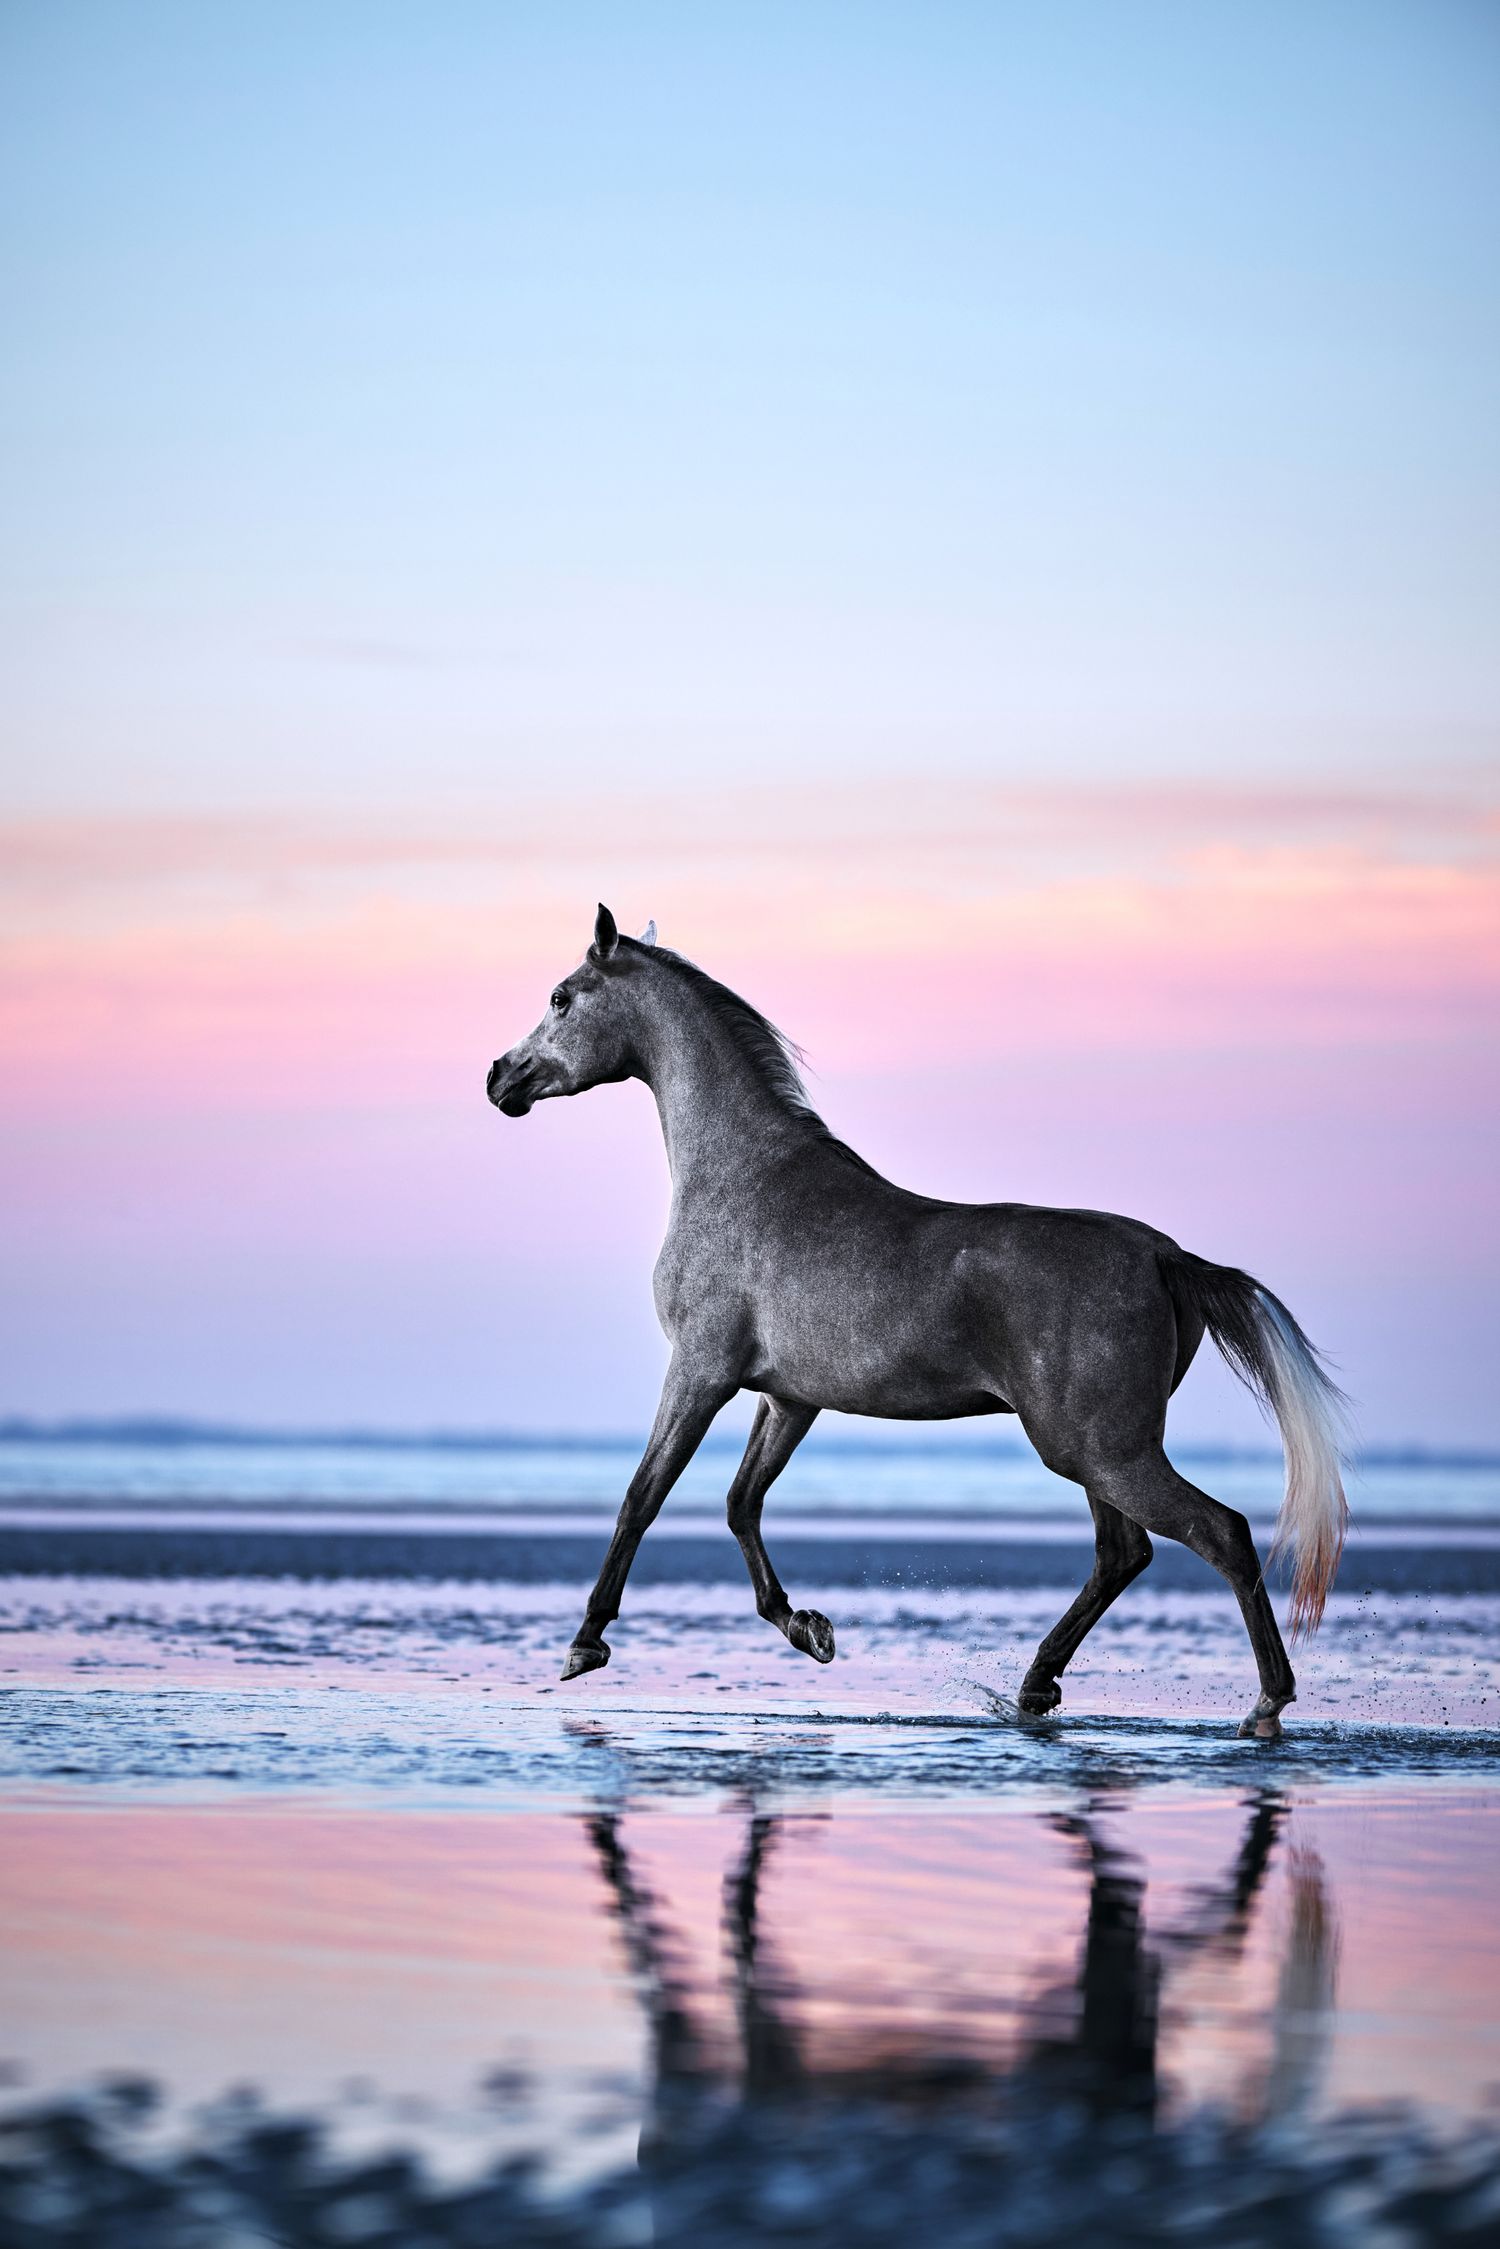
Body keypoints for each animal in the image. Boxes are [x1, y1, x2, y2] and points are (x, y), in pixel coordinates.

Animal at [487, 905, 1350, 1737]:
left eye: (561, 997)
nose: (500, 1076)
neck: (744, 1174)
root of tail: (1169, 1256)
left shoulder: (701, 1371)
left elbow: (644, 1493)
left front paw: (585, 1644)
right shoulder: (789, 1397)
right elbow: (741, 1502)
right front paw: (808, 1627)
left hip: (1102, 1450)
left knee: (1220, 1532)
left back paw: (1266, 1702)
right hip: (1097, 1452)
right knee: (1122, 1553)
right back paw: (1036, 1687)